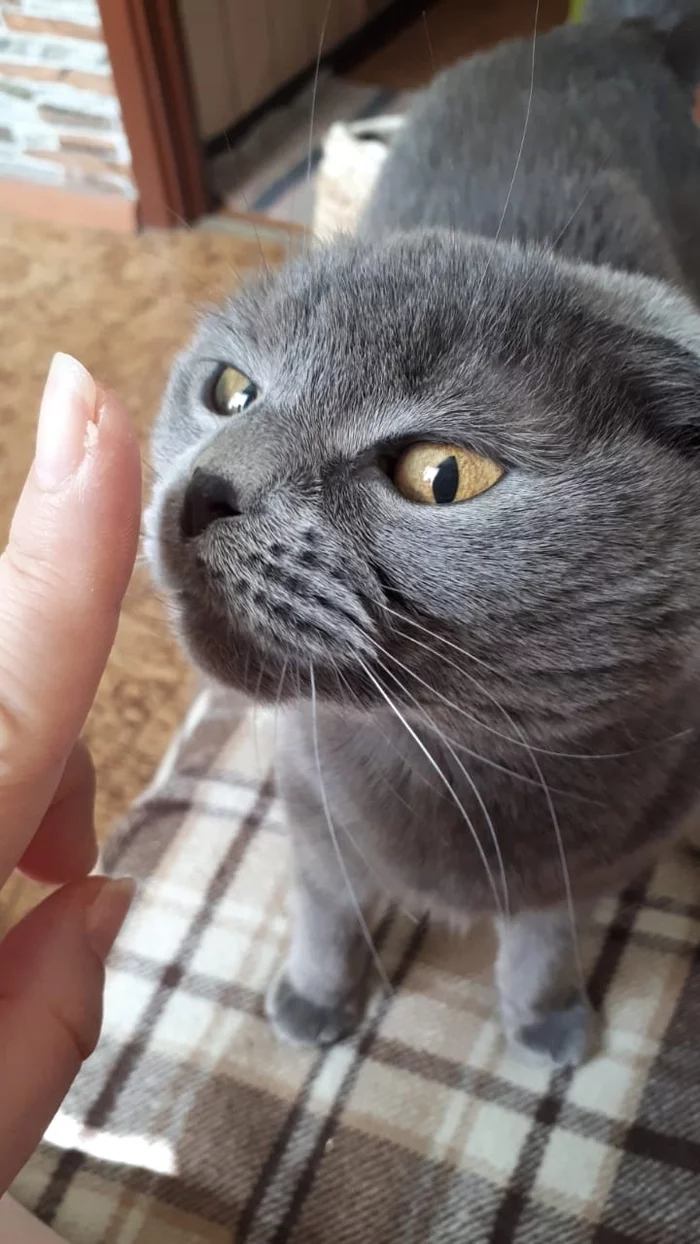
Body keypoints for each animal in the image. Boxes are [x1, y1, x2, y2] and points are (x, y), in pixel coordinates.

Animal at [146, 2, 700, 1069]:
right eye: (229, 392)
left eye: (443, 477)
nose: (203, 488)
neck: (454, 763)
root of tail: (601, 33)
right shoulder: (309, 807)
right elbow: (326, 910)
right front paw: (317, 999)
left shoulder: (591, 864)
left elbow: (545, 937)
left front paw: (548, 1017)